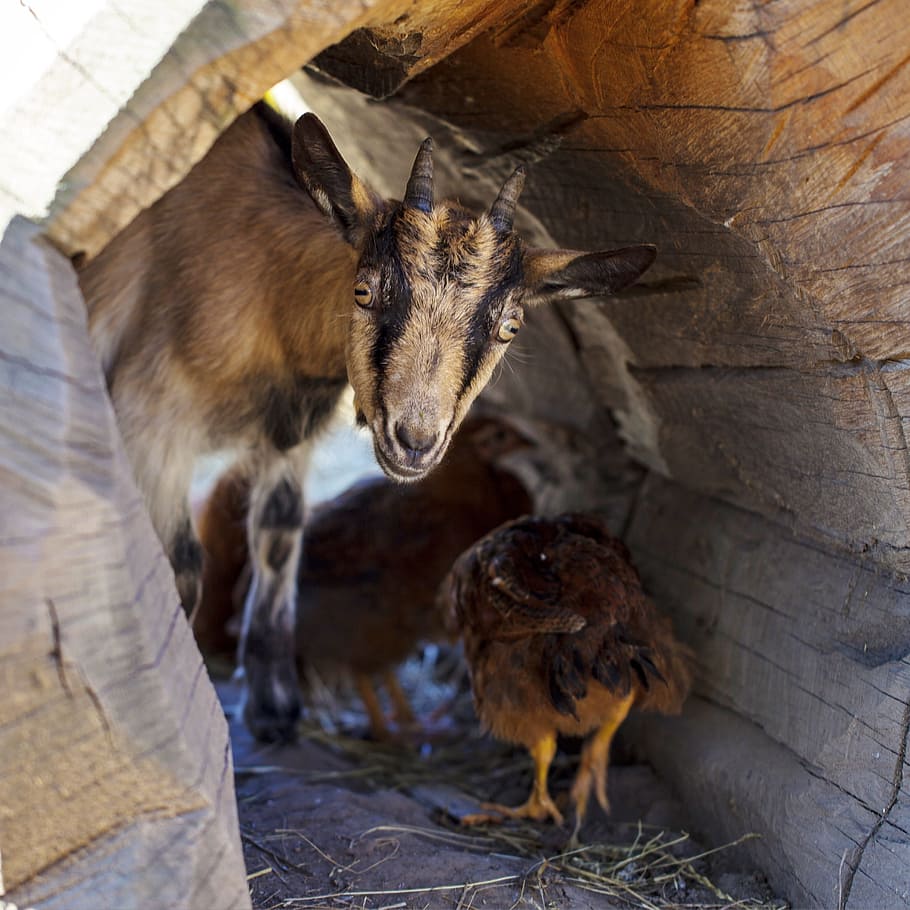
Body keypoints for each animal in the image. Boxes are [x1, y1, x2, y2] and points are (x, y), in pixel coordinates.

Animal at [78, 100, 656, 742]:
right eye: (363, 292)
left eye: (509, 327)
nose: (414, 441)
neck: (265, 292)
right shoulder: (150, 417)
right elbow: (180, 564)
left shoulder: (291, 438)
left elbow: (280, 537)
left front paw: (274, 710)